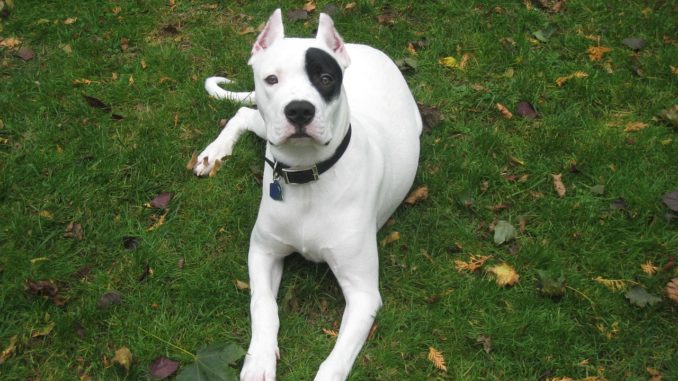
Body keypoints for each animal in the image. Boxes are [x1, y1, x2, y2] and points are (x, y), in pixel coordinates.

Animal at [191, 9, 422, 380]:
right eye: (271, 79)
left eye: (326, 78)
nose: (299, 110)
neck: (307, 176)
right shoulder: (262, 252)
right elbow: (263, 305)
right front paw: (259, 360)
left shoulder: (363, 293)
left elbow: (337, 359)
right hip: (266, 128)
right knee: (243, 114)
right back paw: (214, 152)